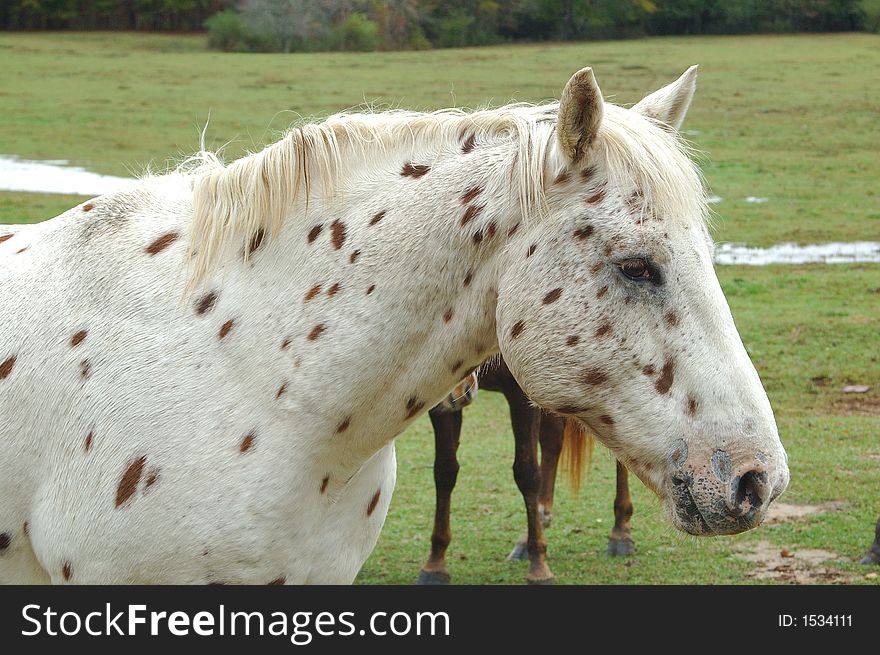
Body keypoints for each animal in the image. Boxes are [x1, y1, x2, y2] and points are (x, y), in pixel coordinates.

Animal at [416, 358, 636, 584]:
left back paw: (620, 531)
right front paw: (435, 564)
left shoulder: (520, 394)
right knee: (552, 438)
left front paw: (538, 567)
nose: (458, 389)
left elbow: (526, 473)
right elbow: (444, 471)